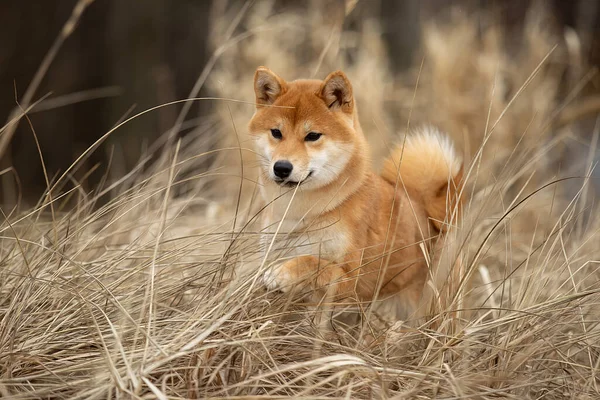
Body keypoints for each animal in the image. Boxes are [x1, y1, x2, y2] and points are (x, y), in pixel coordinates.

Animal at [246, 66, 462, 318]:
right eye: (276, 132)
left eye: (312, 136)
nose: (281, 167)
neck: (302, 212)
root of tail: (425, 207)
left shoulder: (352, 281)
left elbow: (313, 263)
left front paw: (282, 274)